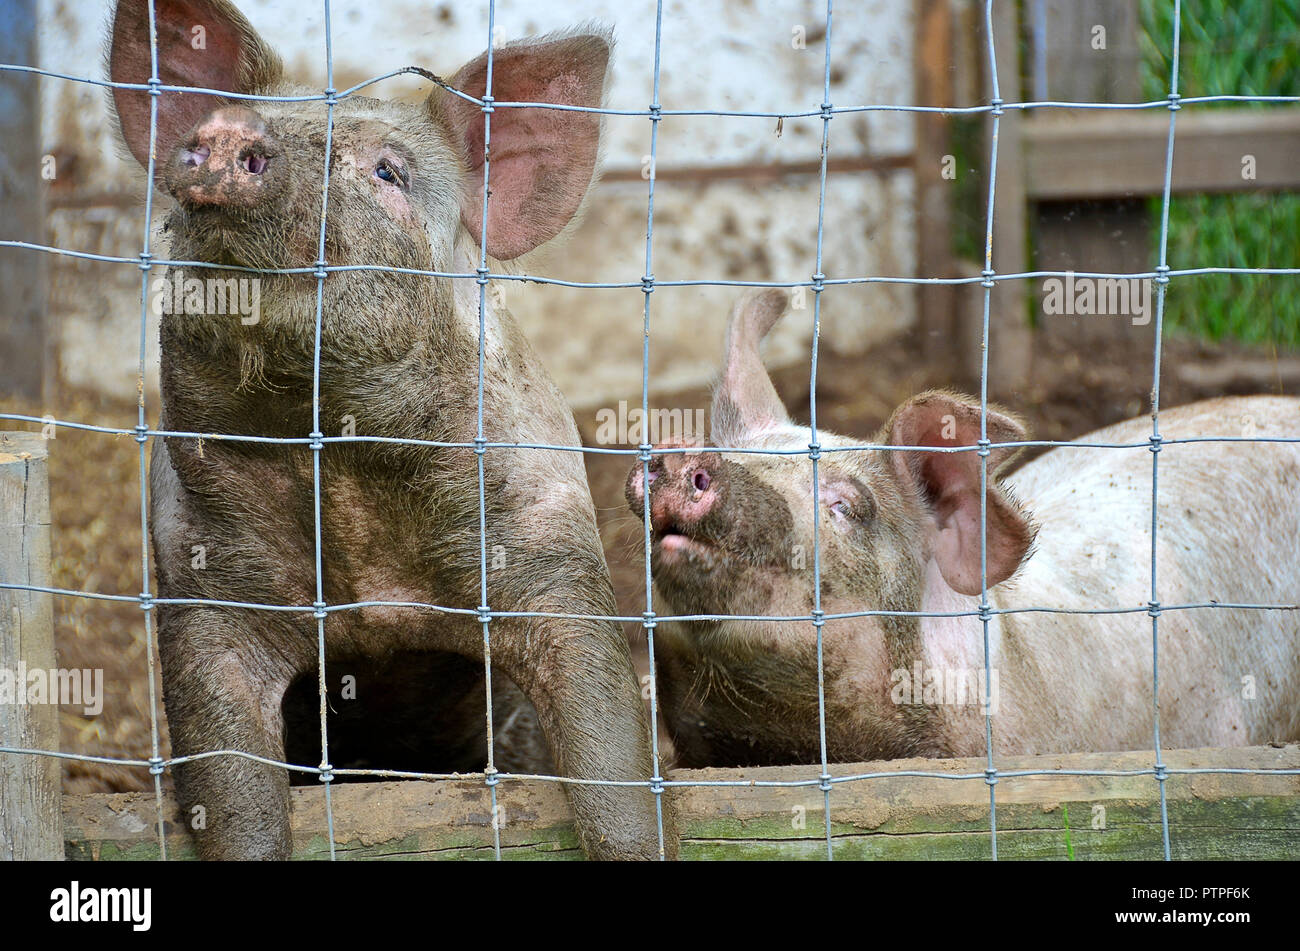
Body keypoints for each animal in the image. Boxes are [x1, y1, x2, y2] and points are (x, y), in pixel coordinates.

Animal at [109, 0, 671, 859]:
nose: (231, 130)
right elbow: (231, 785)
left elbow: (606, 746)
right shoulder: (198, 579)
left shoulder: (552, 546)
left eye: (388, 173)